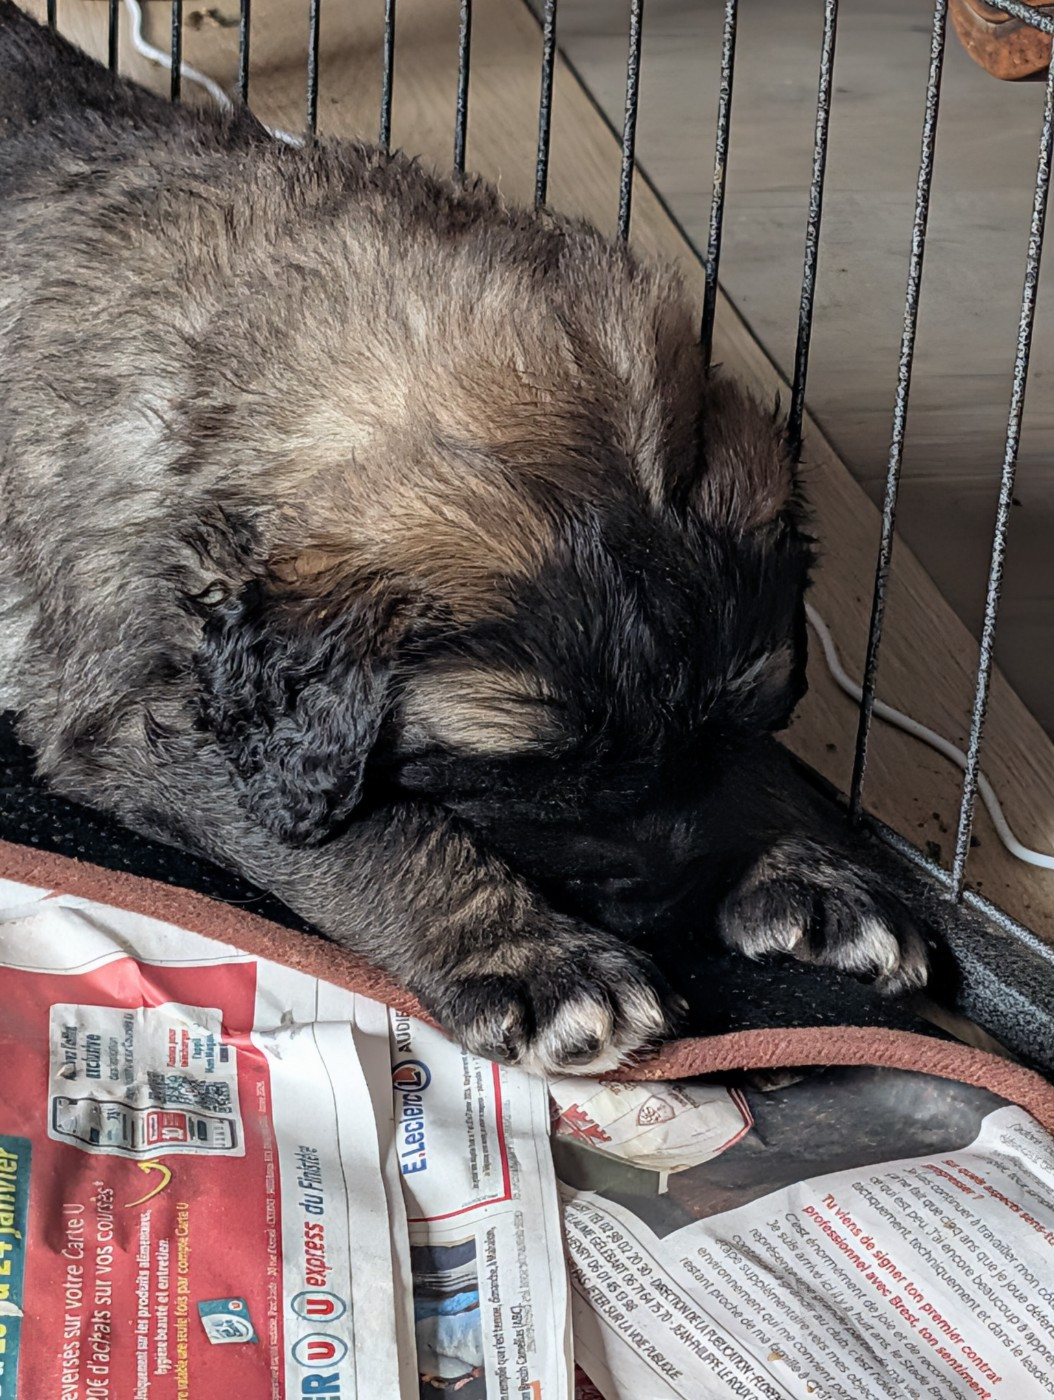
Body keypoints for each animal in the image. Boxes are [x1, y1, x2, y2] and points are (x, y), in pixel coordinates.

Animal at [0, 3, 929, 1073]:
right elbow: (374, 836)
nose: (667, 906)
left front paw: (814, 869)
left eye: (746, 714)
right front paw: (537, 957)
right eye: (520, 769)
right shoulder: (138, 718)